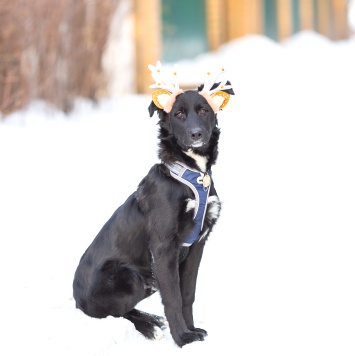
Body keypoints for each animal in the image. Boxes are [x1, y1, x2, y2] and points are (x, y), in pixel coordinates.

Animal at [72, 62, 235, 346]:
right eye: (178, 114)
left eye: (204, 111)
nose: (196, 134)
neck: (191, 174)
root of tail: (75, 298)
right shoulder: (163, 248)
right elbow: (173, 298)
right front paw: (182, 339)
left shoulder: (197, 245)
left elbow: (187, 295)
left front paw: (192, 329)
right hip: (130, 278)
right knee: (115, 313)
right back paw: (149, 327)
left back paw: (153, 321)